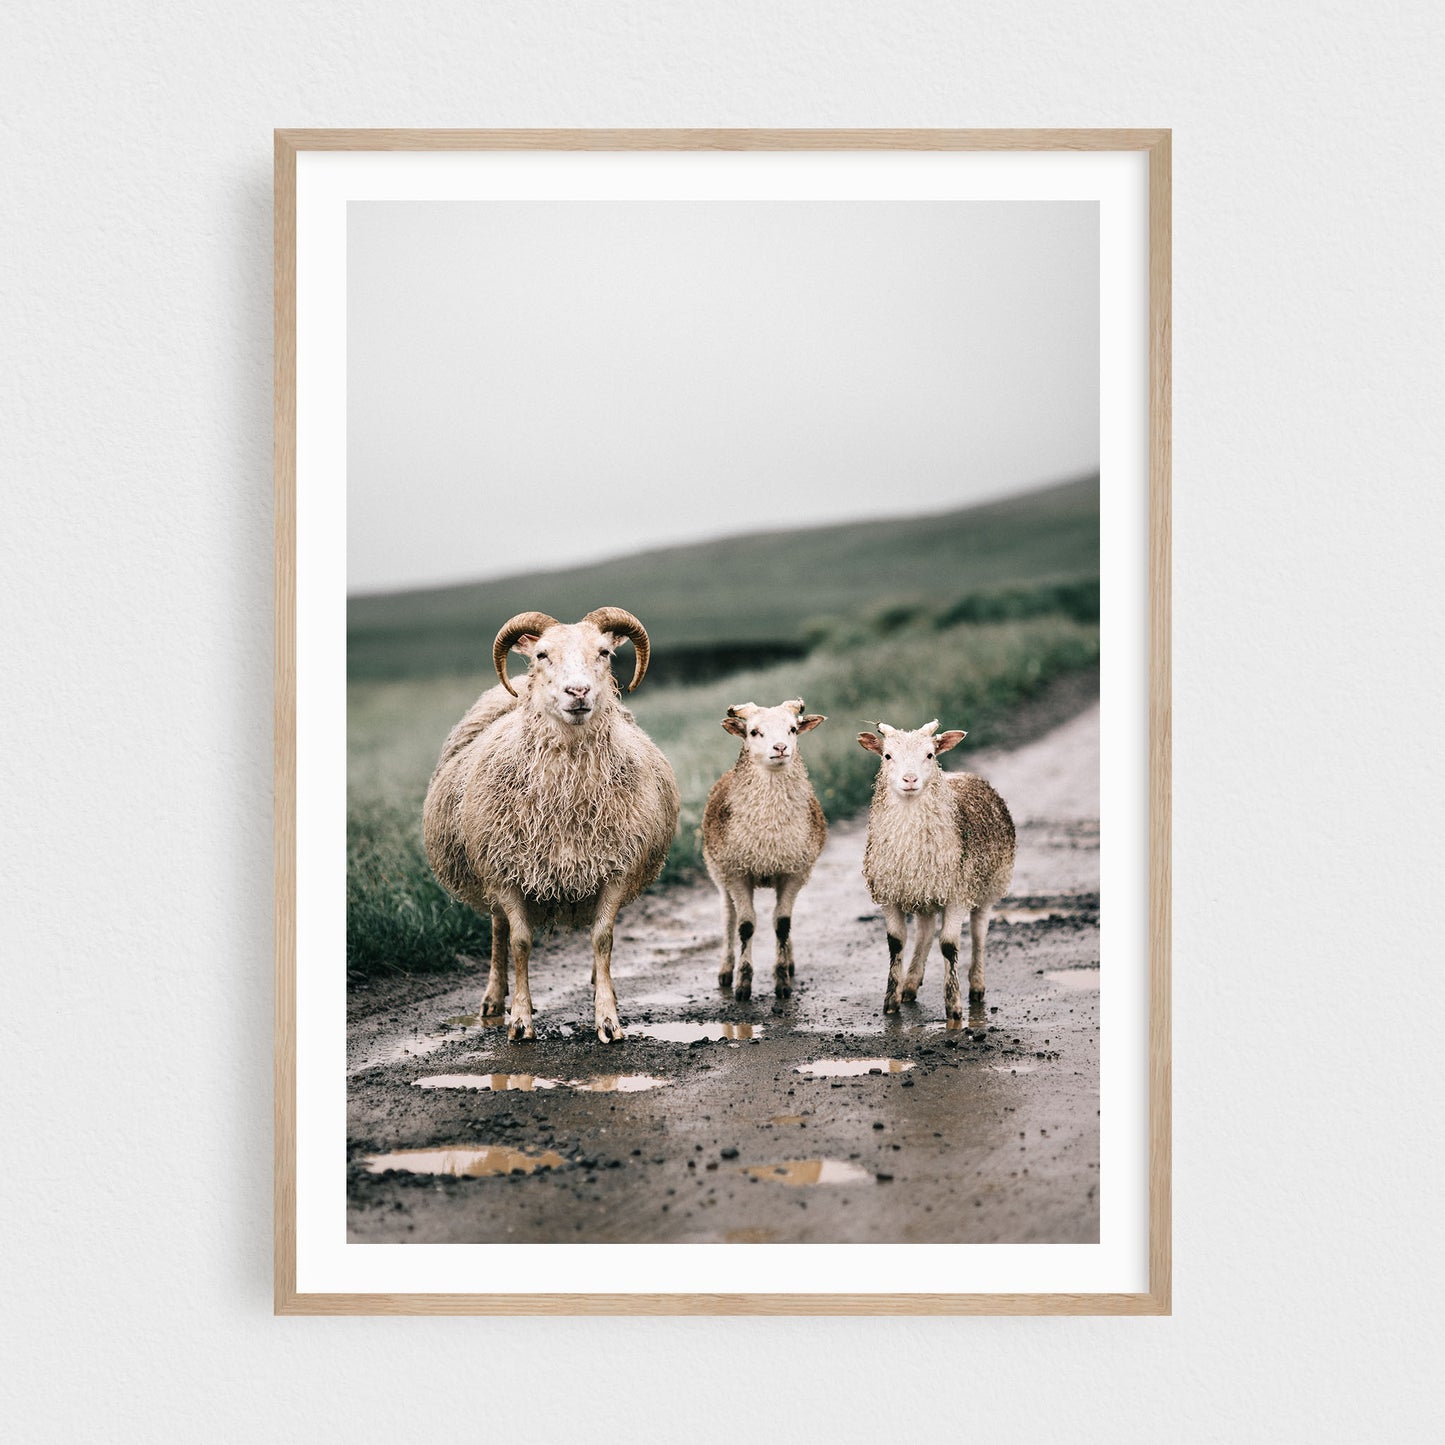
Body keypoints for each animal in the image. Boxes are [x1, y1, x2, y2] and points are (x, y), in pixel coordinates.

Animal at [423, 607, 680, 1043]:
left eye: (605, 652)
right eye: (542, 654)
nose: (578, 692)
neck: (565, 801)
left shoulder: (615, 869)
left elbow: (603, 939)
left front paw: (607, 1017)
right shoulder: (506, 872)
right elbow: (520, 943)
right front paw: (521, 1020)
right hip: (489, 868)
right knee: (498, 932)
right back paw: (494, 999)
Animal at [701, 699, 827, 1000]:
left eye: (793, 728)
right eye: (754, 732)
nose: (780, 748)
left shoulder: (793, 873)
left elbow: (782, 924)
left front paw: (782, 982)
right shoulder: (737, 874)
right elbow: (745, 926)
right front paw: (742, 984)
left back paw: (790, 963)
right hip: (719, 875)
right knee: (728, 918)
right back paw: (726, 970)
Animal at [857, 719, 1015, 1021]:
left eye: (930, 755)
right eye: (887, 756)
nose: (909, 780)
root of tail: (966, 775)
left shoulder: (958, 894)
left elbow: (949, 945)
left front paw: (953, 1006)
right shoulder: (891, 894)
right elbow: (896, 942)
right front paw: (890, 1001)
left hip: (988, 887)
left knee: (979, 931)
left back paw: (977, 985)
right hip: (925, 892)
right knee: (925, 931)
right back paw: (910, 984)